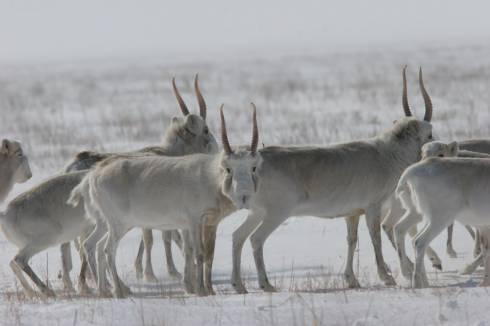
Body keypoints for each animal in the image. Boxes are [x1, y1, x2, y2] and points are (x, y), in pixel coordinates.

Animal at [69, 104, 260, 298]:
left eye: (253, 167)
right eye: (228, 168)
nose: (244, 196)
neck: (211, 177)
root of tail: (93, 176)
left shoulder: (205, 223)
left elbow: (202, 253)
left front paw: (202, 288)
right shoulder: (194, 221)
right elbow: (198, 253)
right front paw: (200, 290)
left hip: (106, 224)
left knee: (94, 246)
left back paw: (105, 290)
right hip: (118, 225)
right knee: (107, 250)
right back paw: (119, 291)